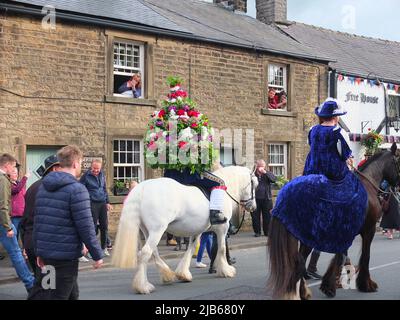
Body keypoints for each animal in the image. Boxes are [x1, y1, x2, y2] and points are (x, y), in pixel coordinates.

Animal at [111, 166, 258, 294]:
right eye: (255, 184)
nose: (253, 207)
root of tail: (141, 188)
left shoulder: (197, 230)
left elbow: (191, 248)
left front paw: (183, 274)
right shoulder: (222, 228)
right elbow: (221, 248)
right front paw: (227, 271)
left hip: (147, 231)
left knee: (153, 252)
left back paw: (166, 275)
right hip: (158, 229)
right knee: (145, 253)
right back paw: (143, 287)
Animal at [268, 144, 400, 298]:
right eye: (397, 161)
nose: (397, 185)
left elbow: (341, 256)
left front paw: (331, 283)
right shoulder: (369, 229)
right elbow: (364, 256)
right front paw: (365, 284)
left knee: (299, 260)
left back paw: (301, 291)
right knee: (300, 261)